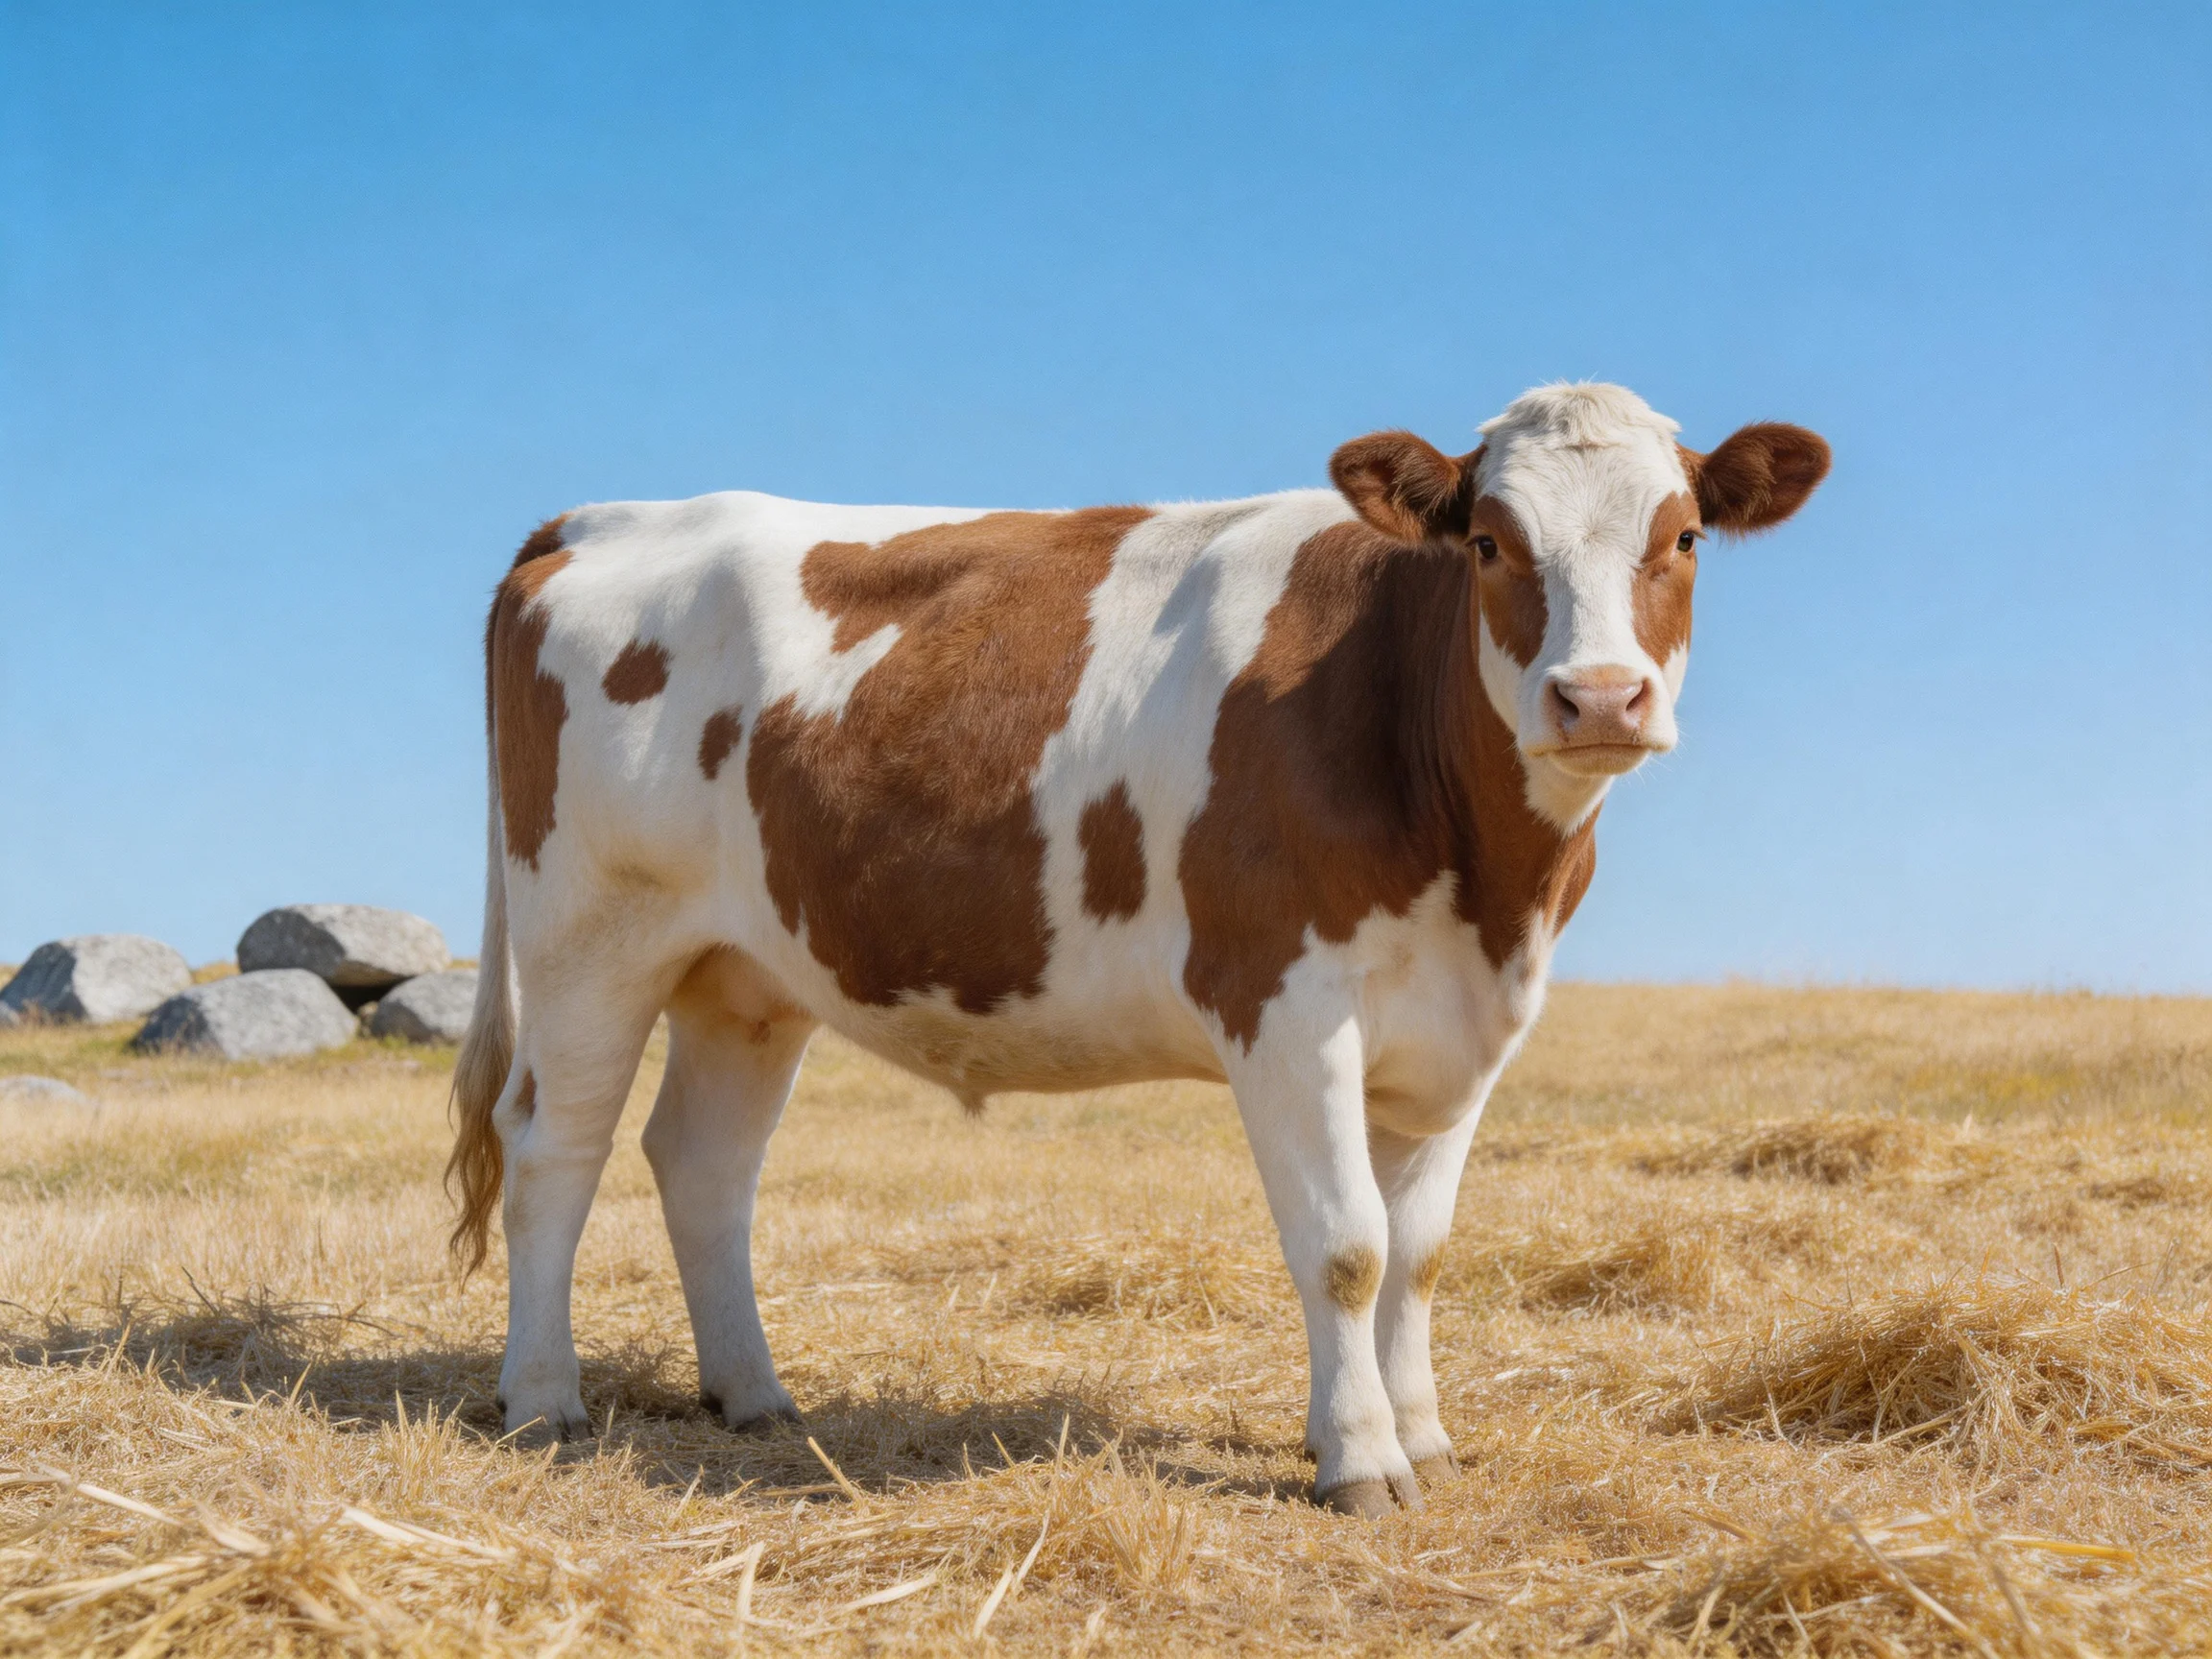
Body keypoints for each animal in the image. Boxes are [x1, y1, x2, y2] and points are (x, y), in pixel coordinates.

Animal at [448, 381, 1828, 1515]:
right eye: (1490, 542)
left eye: (1683, 539)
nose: (1598, 698)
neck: (1486, 881)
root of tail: (601, 519)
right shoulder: (1283, 1002)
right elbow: (1348, 1247)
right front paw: (1362, 1463)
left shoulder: (1465, 1028)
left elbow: (1421, 1255)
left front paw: (1424, 1438)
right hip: (590, 939)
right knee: (553, 1147)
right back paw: (543, 1400)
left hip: (746, 975)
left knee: (703, 1164)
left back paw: (755, 1396)